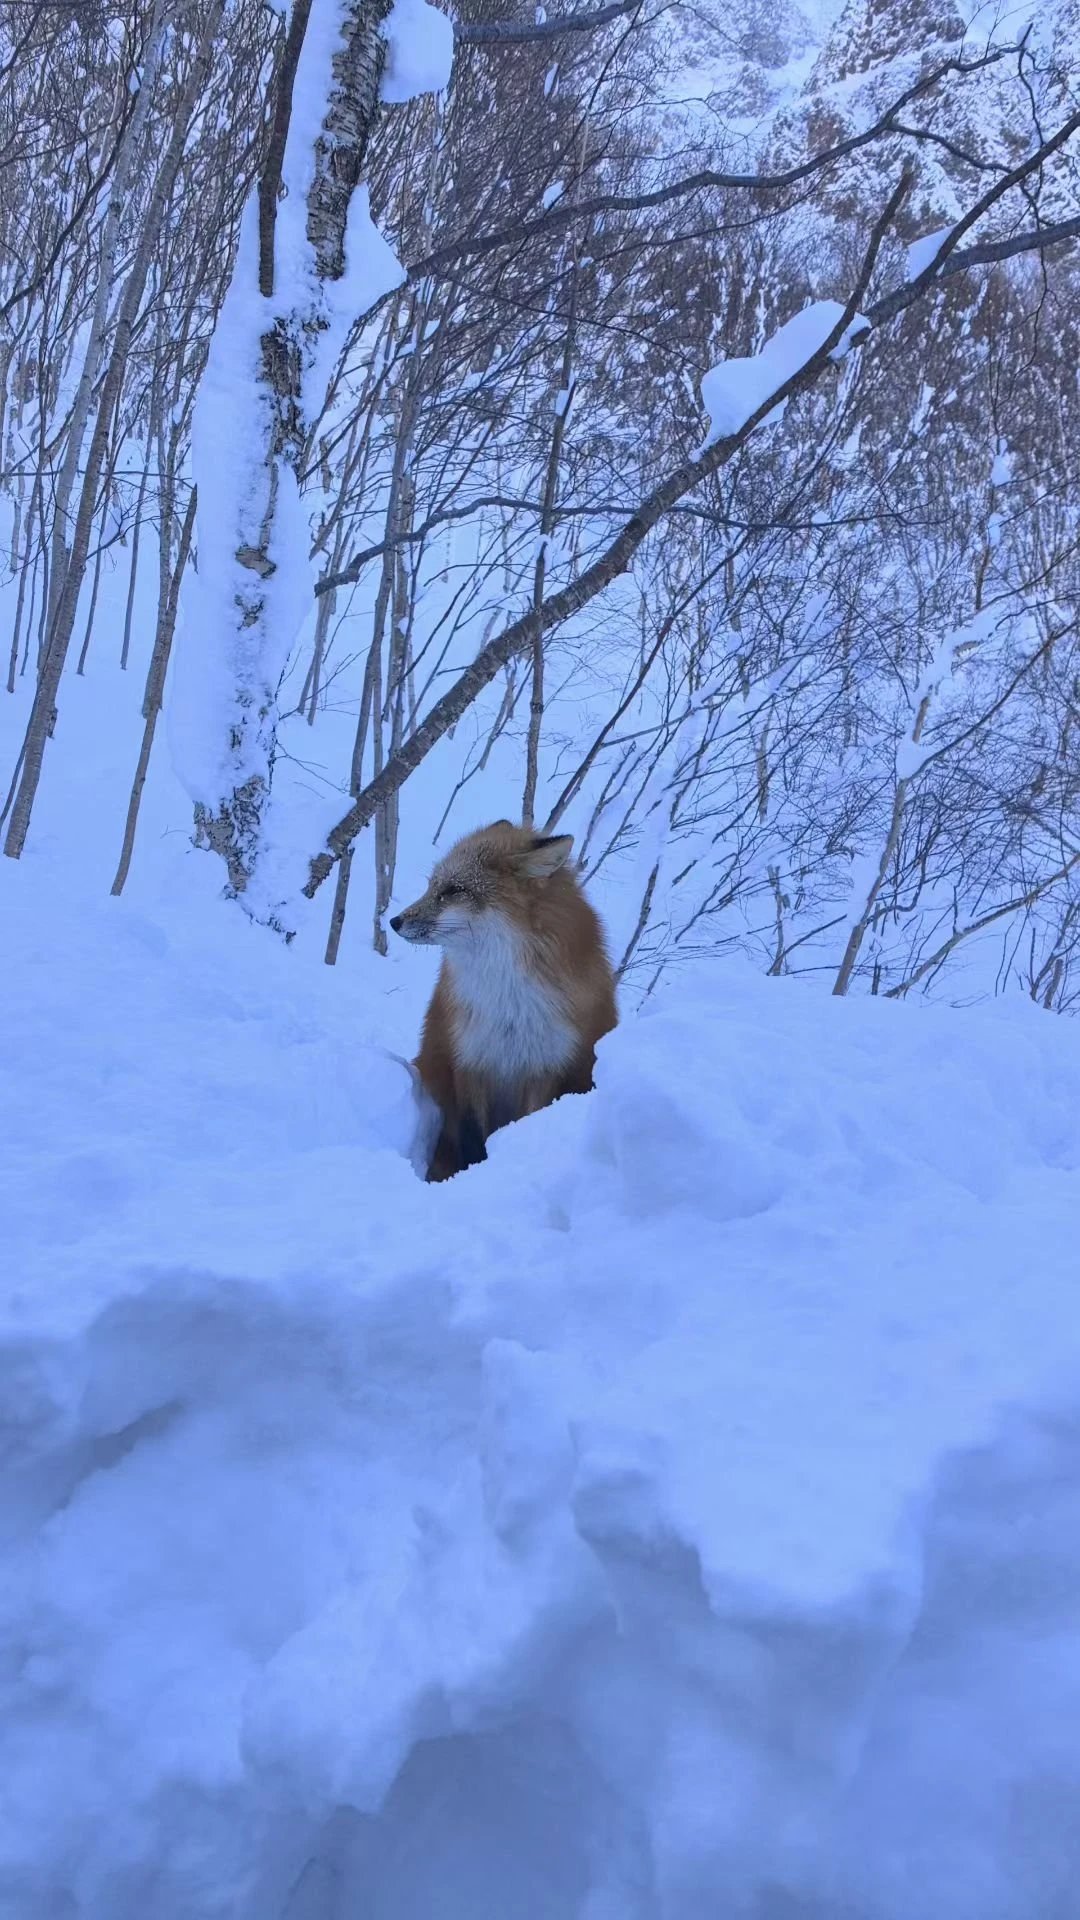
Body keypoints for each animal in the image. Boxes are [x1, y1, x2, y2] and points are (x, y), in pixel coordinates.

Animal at [390, 820, 618, 1181]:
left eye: (453, 890)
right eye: (432, 886)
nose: (393, 921)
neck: (507, 1000)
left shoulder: (543, 1064)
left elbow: (526, 1119)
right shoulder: (470, 1057)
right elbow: (471, 1135)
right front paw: (469, 1174)